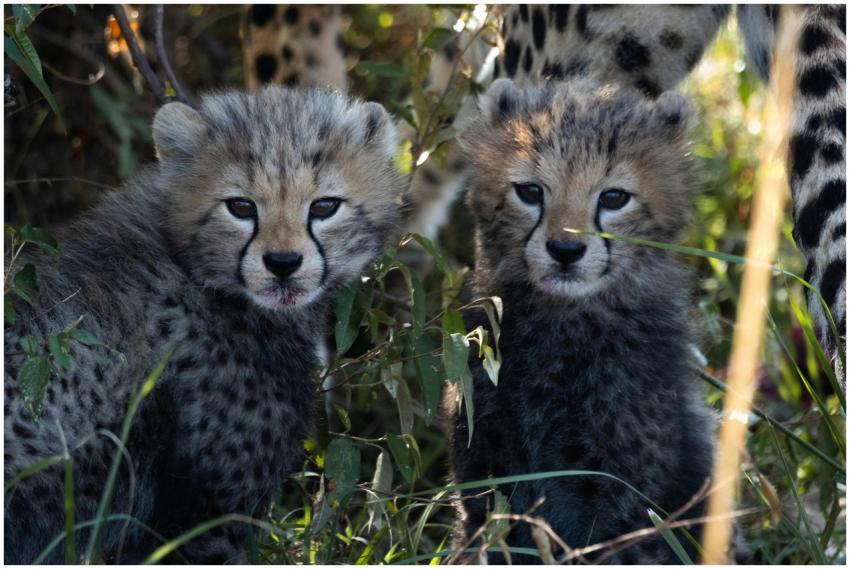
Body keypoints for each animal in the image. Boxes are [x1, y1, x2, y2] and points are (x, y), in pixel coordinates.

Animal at [445, 77, 716, 564]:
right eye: (531, 192)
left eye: (613, 198)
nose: (565, 250)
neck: (564, 330)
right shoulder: (486, 469)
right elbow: (484, 535)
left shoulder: (621, 501)